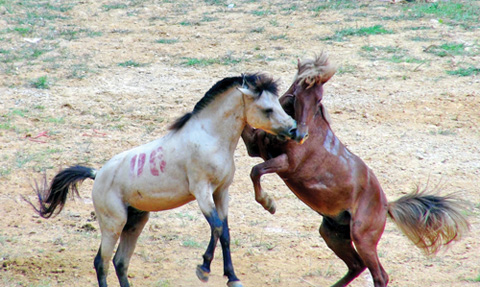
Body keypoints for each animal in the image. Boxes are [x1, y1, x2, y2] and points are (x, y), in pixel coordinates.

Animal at [29, 74, 304, 287]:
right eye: (267, 109)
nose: (296, 131)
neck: (210, 137)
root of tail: (98, 174)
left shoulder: (221, 192)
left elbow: (225, 232)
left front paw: (232, 277)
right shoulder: (202, 192)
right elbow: (216, 227)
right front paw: (203, 269)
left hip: (135, 222)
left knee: (120, 262)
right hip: (113, 224)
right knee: (102, 262)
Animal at [240, 53, 468, 286]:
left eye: (318, 99)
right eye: (296, 94)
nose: (300, 135)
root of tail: (386, 205)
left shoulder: (287, 164)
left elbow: (256, 170)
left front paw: (268, 204)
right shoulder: (255, 147)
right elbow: (250, 147)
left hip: (362, 238)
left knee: (379, 274)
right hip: (332, 234)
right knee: (356, 266)